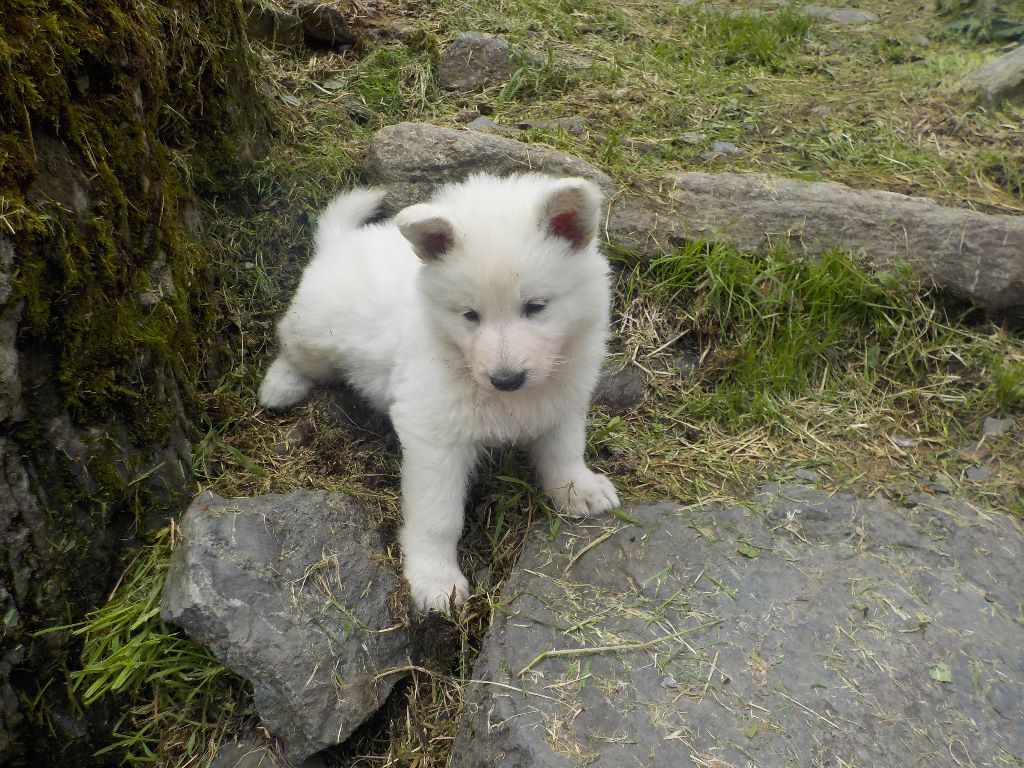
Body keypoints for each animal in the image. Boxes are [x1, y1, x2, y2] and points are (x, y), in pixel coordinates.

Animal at [260, 174, 618, 614]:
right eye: (469, 315)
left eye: (536, 306)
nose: (506, 379)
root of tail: (340, 242)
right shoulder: (434, 437)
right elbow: (439, 516)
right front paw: (435, 579)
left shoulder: (563, 396)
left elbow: (564, 449)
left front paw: (578, 489)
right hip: (315, 337)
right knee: (292, 348)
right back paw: (280, 384)